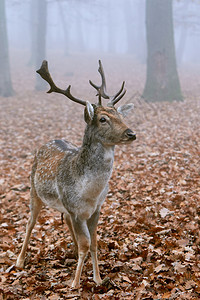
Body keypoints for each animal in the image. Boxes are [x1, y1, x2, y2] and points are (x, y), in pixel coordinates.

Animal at [16, 59, 136, 288]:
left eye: (120, 115)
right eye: (103, 119)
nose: (131, 133)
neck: (89, 192)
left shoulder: (96, 209)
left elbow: (94, 243)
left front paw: (97, 279)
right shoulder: (75, 209)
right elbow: (85, 244)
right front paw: (75, 283)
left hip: (64, 207)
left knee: (67, 224)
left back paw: (70, 253)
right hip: (34, 191)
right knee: (30, 223)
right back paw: (19, 261)